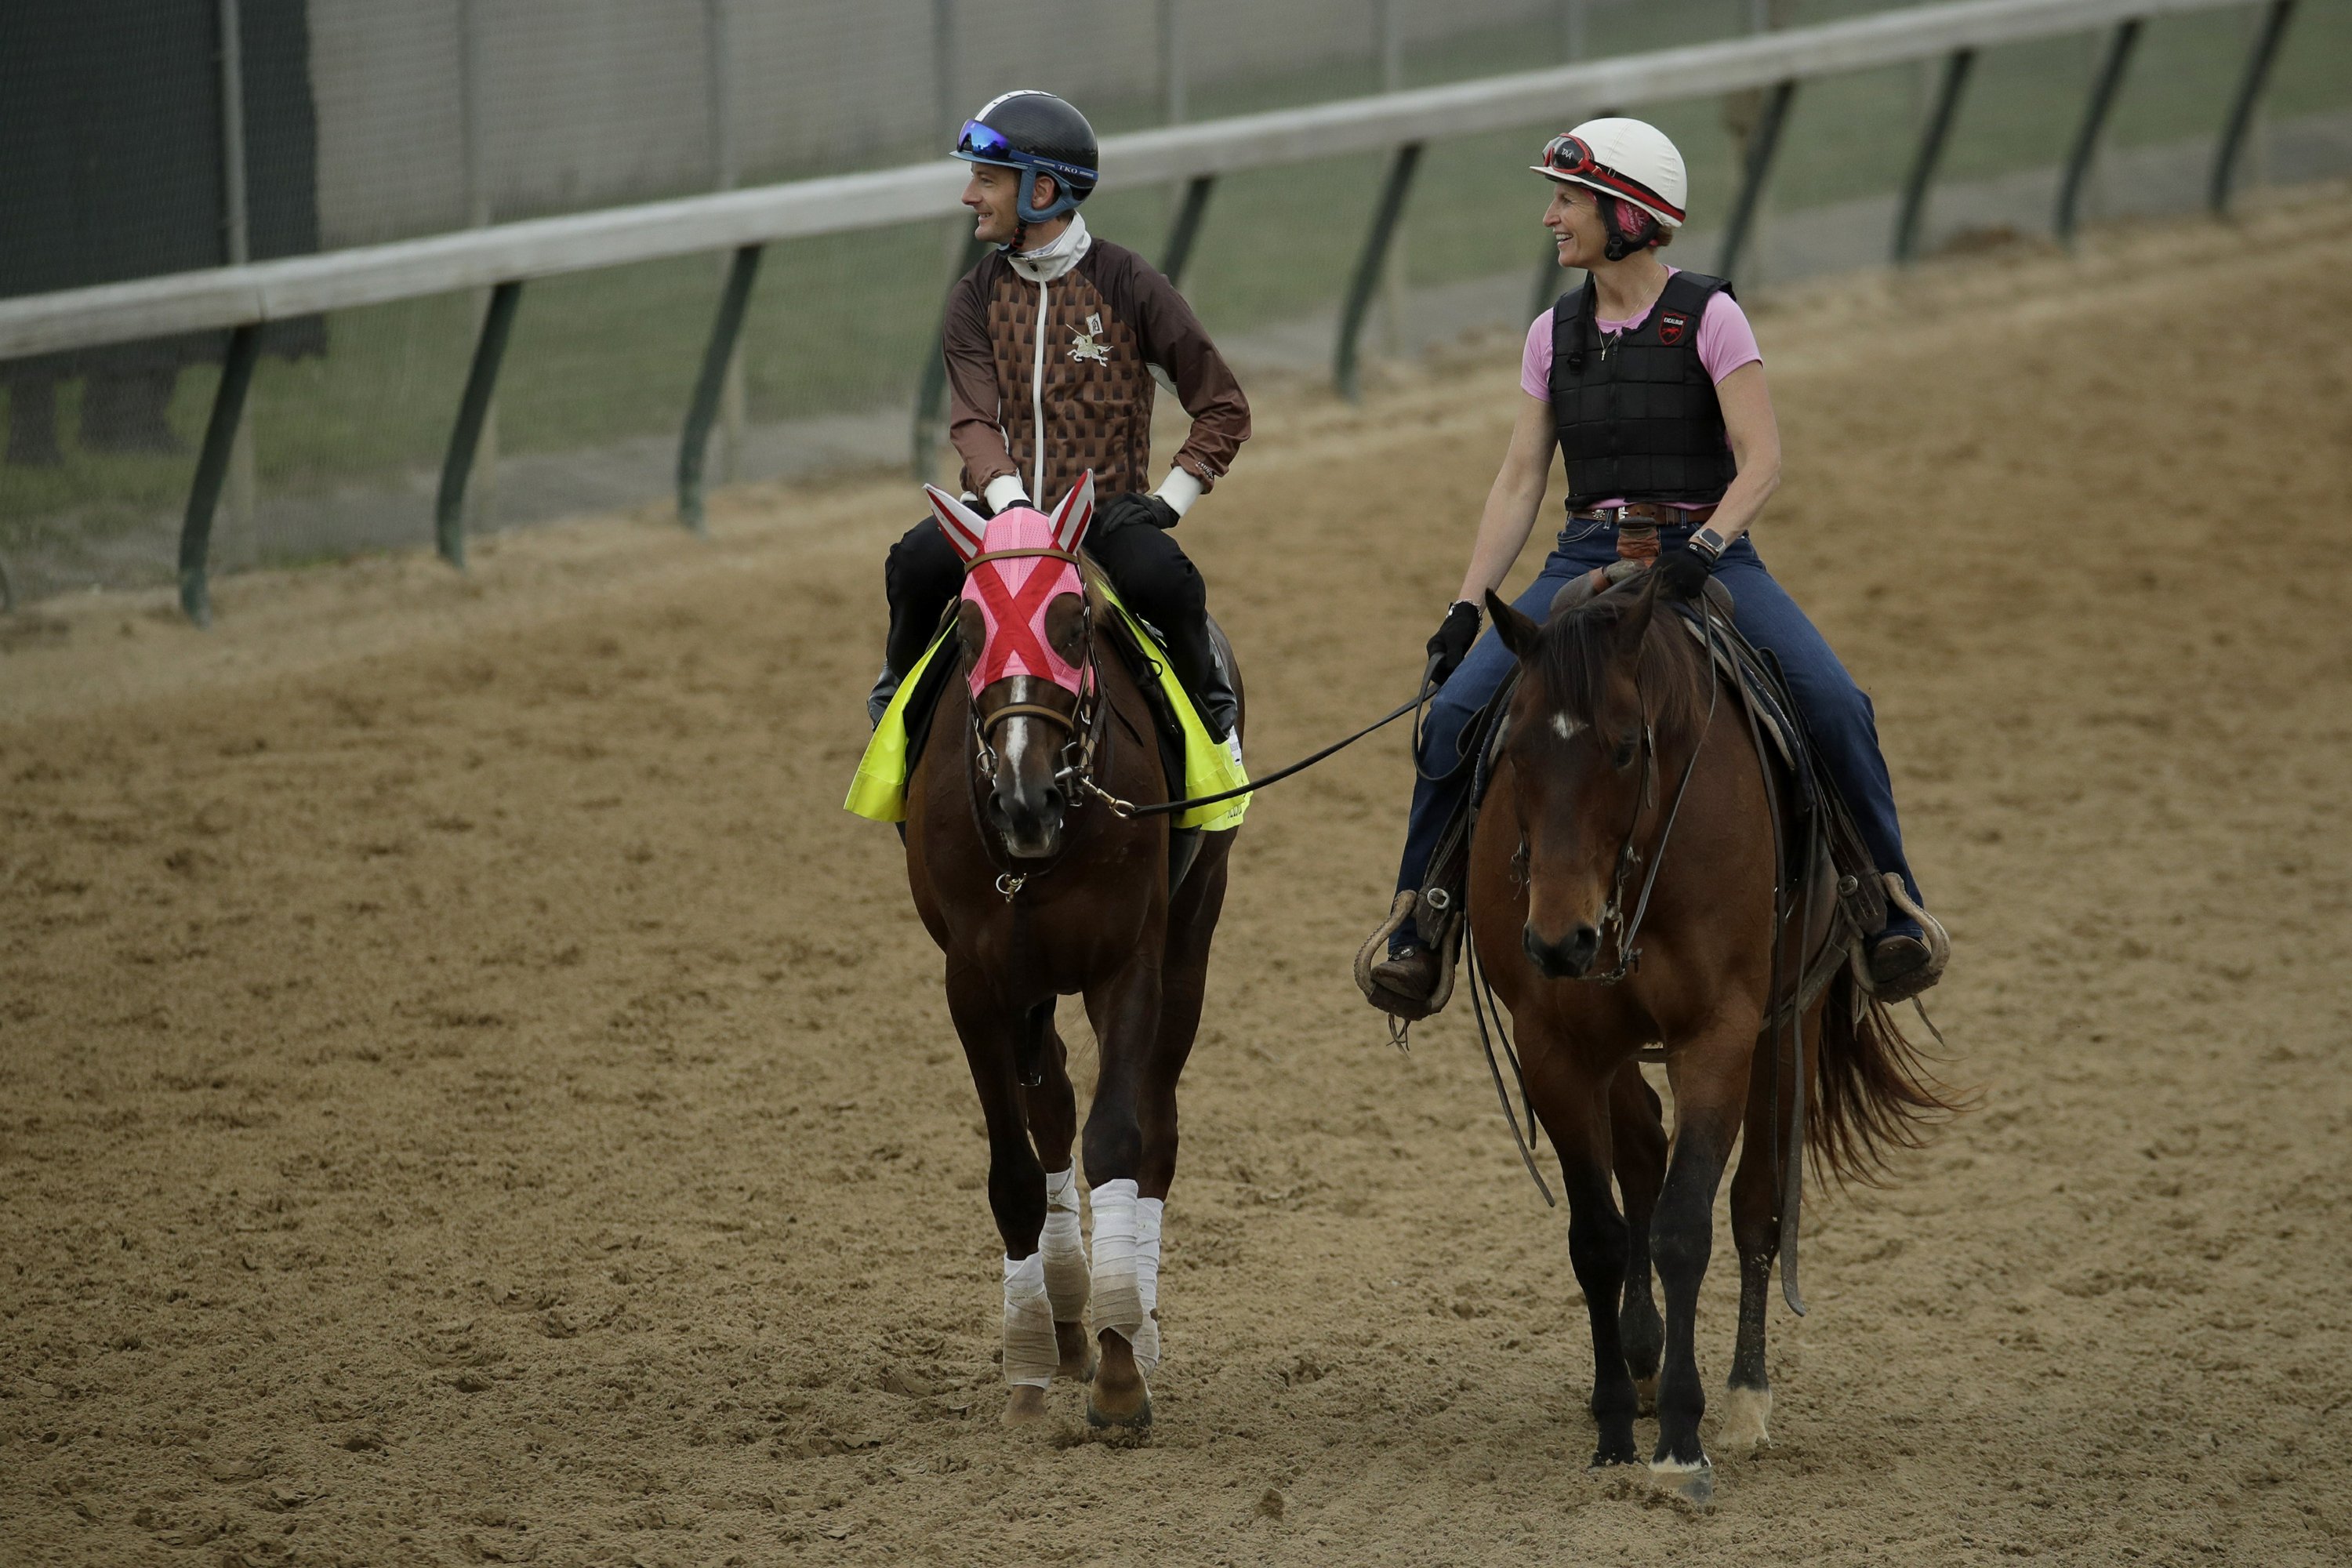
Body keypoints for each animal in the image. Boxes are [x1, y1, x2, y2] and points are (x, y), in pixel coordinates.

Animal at [898, 479, 1242, 1439]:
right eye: (968, 634)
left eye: (1075, 623)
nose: (1027, 798)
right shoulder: (975, 982)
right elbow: (1016, 1169)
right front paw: (1027, 1362)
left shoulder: (1127, 961)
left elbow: (1120, 1135)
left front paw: (1122, 1376)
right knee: (1048, 1101)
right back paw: (1064, 1318)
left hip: (1192, 932)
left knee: (1157, 1120)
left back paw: (1133, 1322)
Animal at [1468, 571, 1947, 1504]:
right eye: (1517, 751)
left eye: (1625, 747)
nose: (1559, 940)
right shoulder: (1553, 1046)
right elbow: (1599, 1235)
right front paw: (1617, 1430)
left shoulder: (1718, 1032)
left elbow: (1687, 1223)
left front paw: (1683, 1446)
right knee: (1641, 1156)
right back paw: (1643, 1360)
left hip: (1788, 1022)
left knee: (1757, 1205)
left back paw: (1744, 1399)